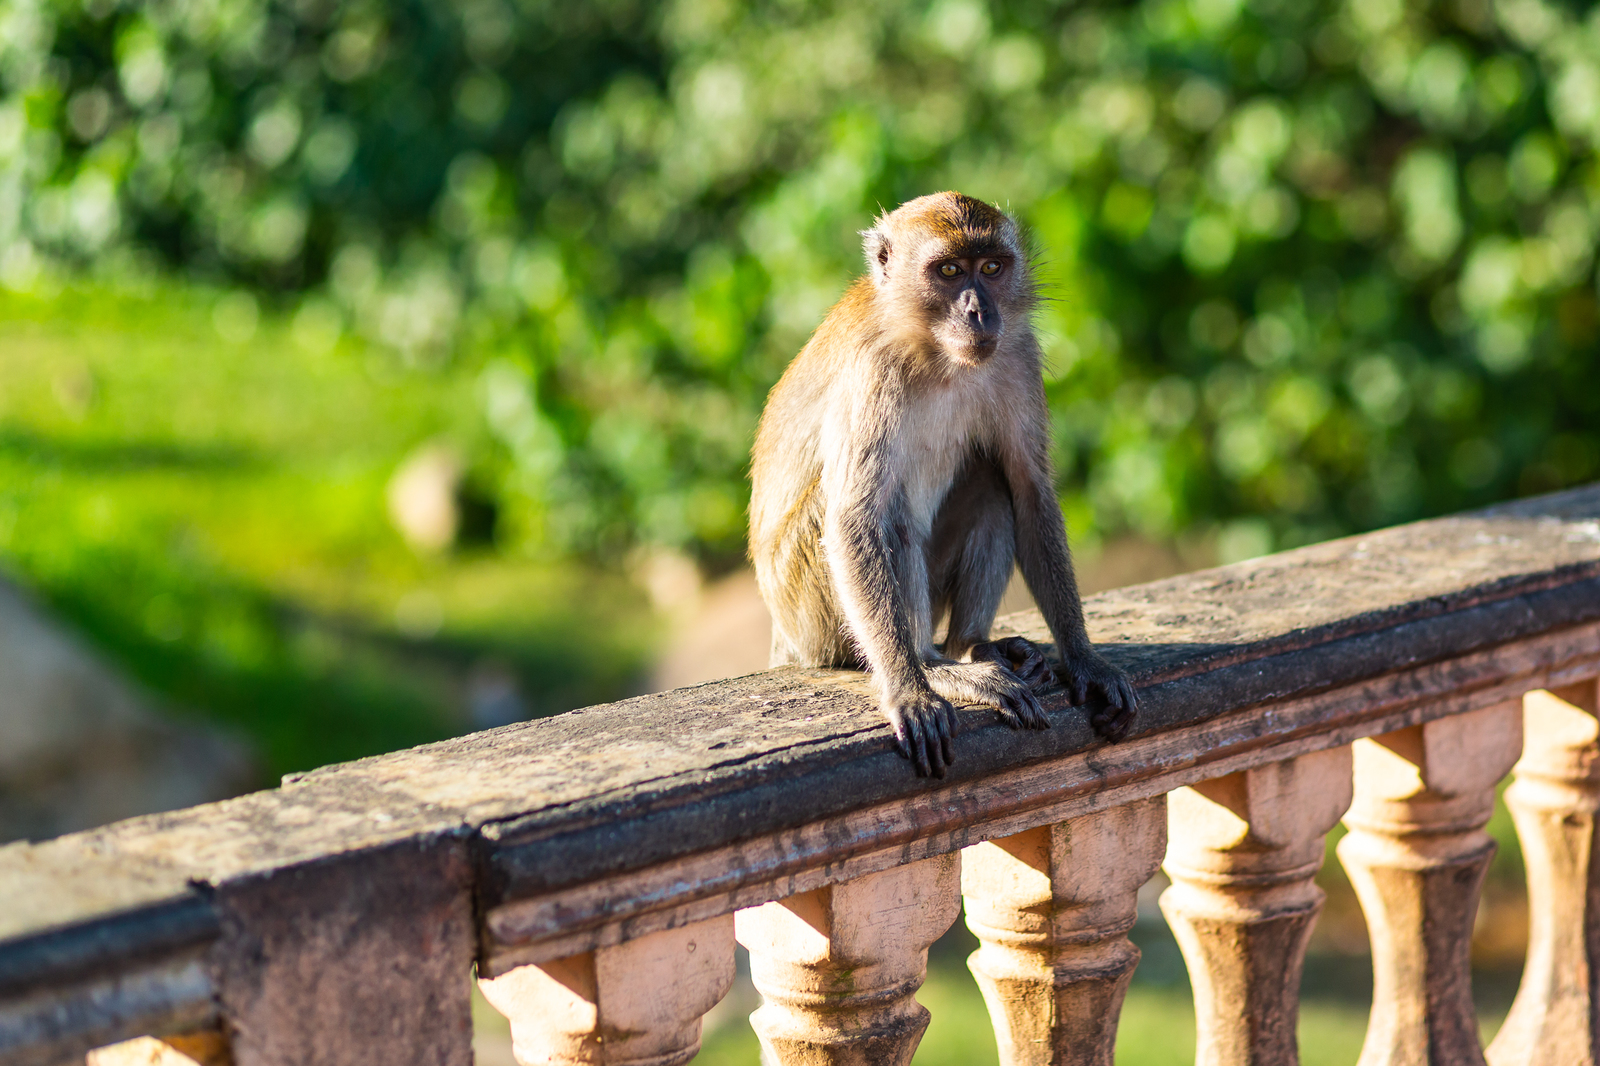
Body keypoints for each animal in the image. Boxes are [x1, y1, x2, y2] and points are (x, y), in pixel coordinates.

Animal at [748, 191, 1139, 771]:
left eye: (992, 268)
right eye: (950, 271)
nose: (978, 311)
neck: (933, 351)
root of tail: (785, 640)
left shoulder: (1018, 354)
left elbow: (1028, 490)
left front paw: (1085, 660)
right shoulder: (871, 371)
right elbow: (856, 519)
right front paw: (909, 689)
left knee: (990, 484)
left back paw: (973, 646)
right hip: (810, 614)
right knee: (887, 519)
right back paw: (932, 667)